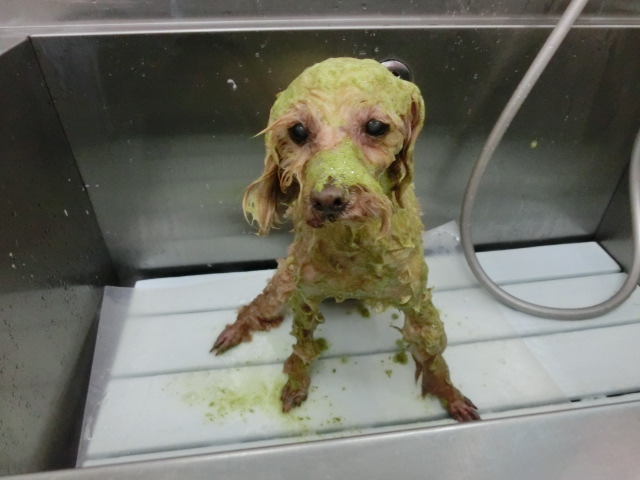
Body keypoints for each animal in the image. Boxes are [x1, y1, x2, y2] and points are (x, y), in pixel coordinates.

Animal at [212, 57, 479, 422]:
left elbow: (433, 354)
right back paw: (234, 331)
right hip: (284, 283)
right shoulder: (305, 297)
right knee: (257, 305)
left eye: (376, 126)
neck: (354, 248)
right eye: (298, 131)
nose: (329, 201)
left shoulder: (416, 299)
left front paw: (449, 394)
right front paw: (296, 385)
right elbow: (303, 346)